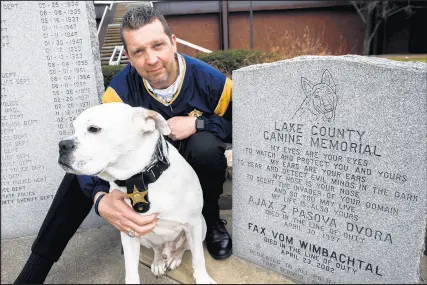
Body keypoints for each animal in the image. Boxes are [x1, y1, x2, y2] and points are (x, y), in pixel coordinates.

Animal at [56, 101, 216, 282]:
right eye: (74, 128)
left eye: (94, 129)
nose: (62, 145)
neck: (141, 179)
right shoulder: (128, 231)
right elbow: (131, 270)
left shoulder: (193, 225)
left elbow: (198, 257)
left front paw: (202, 278)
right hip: (146, 237)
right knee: (158, 249)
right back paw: (159, 262)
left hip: (202, 226)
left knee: (183, 248)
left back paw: (174, 258)